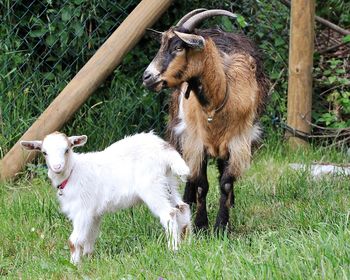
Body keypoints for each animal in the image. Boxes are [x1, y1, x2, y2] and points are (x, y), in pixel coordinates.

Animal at [144, 9, 270, 232]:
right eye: (161, 45)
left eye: (178, 47)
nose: (147, 77)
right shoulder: (196, 142)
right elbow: (201, 183)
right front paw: (201, 224)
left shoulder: (238, 142)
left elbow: (226, 182)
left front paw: (221, 225)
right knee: (189, 172)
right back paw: (188, 201)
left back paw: (231, 202)